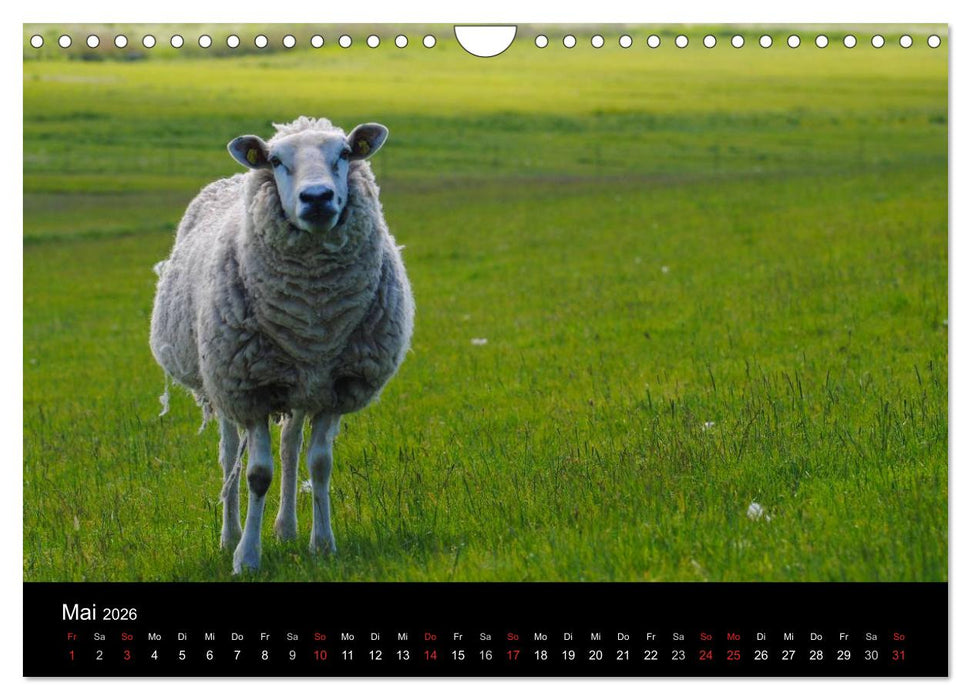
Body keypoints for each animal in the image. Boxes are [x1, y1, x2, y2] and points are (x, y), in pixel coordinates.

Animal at [149, 116, 414, 573]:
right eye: (275, 161)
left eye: (345, 153)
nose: (317, 198)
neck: (314, 316)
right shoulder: (250, 389)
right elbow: (257, 475)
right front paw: (247, 557)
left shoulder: (336, 389)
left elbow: (320, 465)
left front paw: (322, 544)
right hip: (222, 385)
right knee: (229, 457)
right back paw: (230, 535)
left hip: (302, 386)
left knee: (291, 449)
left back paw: (286, 528)